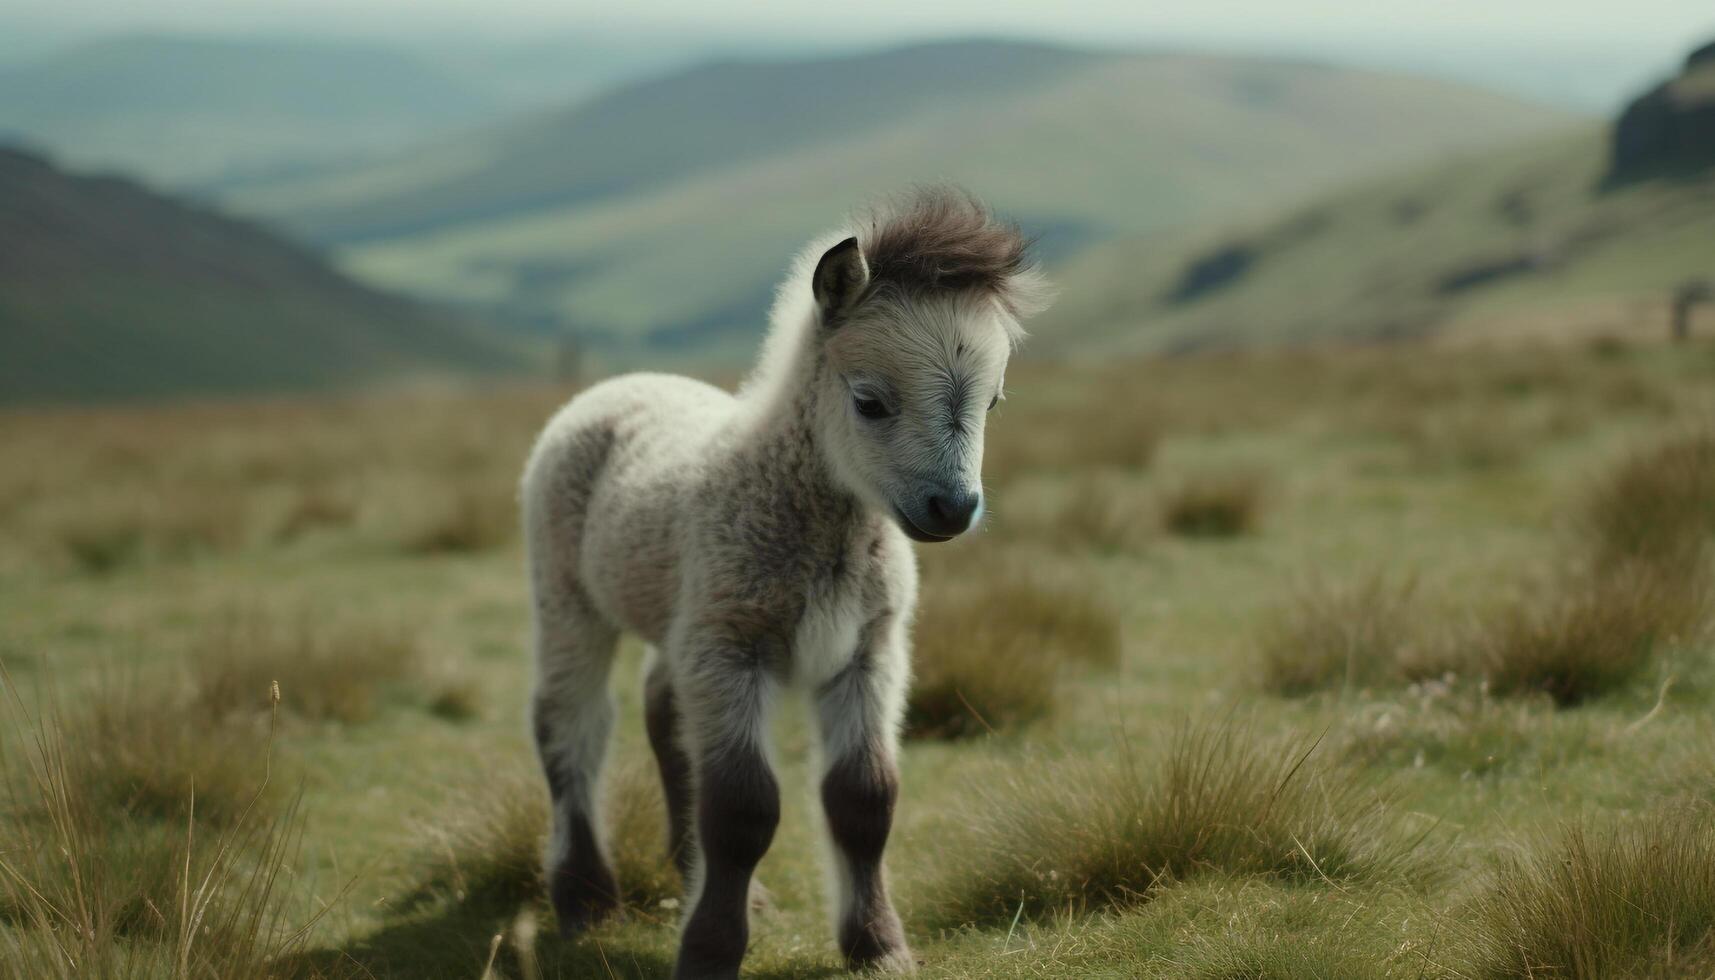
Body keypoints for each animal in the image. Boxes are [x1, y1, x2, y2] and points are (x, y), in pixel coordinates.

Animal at [514, 187, 1042, 974]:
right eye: (869, 401)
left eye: (995, 402)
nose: (951, 509)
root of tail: (622, 383)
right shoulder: (733, 647)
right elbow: (743, 808)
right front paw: (709, 952)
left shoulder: (867, 652)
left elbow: (865, 799)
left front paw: (878, 947)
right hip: (569, 598)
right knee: (569, 726)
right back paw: (585, 901)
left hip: (681, 618)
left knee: (663, 714)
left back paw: (700, 878)